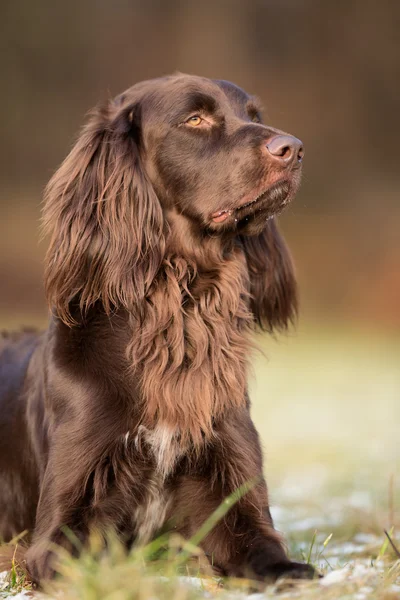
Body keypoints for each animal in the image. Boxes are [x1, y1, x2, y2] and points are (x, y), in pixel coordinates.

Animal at [0, 72, 314, 584]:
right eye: (195, 119)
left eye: (253, 115)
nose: (294, 148)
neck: (179, 317)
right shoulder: (59, 524)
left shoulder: (232, 485)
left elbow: (265, 549)